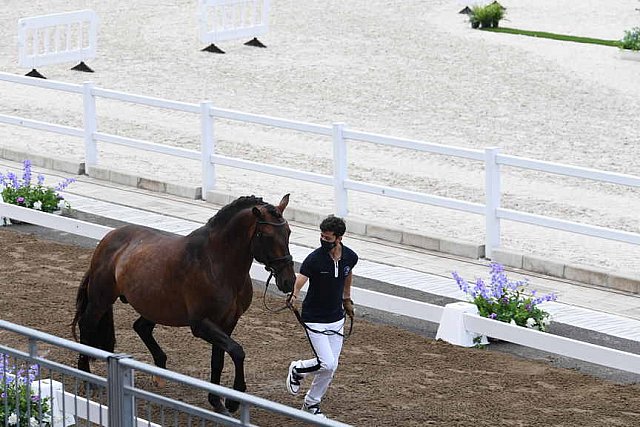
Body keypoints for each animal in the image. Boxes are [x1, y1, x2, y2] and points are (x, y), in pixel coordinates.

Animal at [71, 195, 296, 414]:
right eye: (267, 235)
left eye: (288, 232)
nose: (289, 281)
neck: (217, 264)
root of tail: (108, 239)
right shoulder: (201, 324)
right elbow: (237, 351)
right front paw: (233, 400)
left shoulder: (227, 322)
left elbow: (219, 360)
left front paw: (218, 402)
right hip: (101, 300)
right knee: (87, 325)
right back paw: (86, 376)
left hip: (155, 307)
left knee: (141, 327)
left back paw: (160, 372)